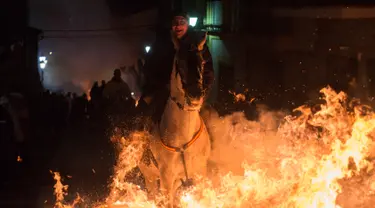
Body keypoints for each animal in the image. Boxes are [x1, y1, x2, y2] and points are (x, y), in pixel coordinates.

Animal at [140, 33, 213, 206]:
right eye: (180, 62)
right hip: (150, 177)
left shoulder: (200, 174)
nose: (195, 96)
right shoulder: (166, 179)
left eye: (202, 62)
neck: (182, 135)